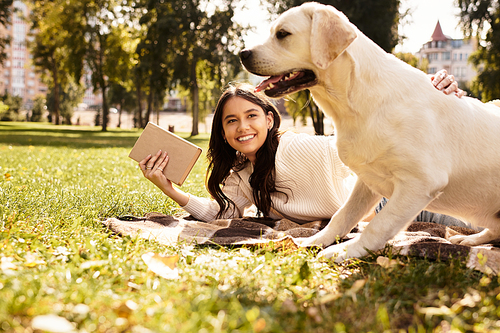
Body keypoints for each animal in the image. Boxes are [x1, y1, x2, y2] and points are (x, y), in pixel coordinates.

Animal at [238, 2, 500, 262]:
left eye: (282, 34)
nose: (242, 54)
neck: (354, 104)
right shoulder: (367, 179)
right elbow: (342, 216)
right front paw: (315, 241)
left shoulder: (420, 182)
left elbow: (378, 225)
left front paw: (345, 251)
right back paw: (469, 240)